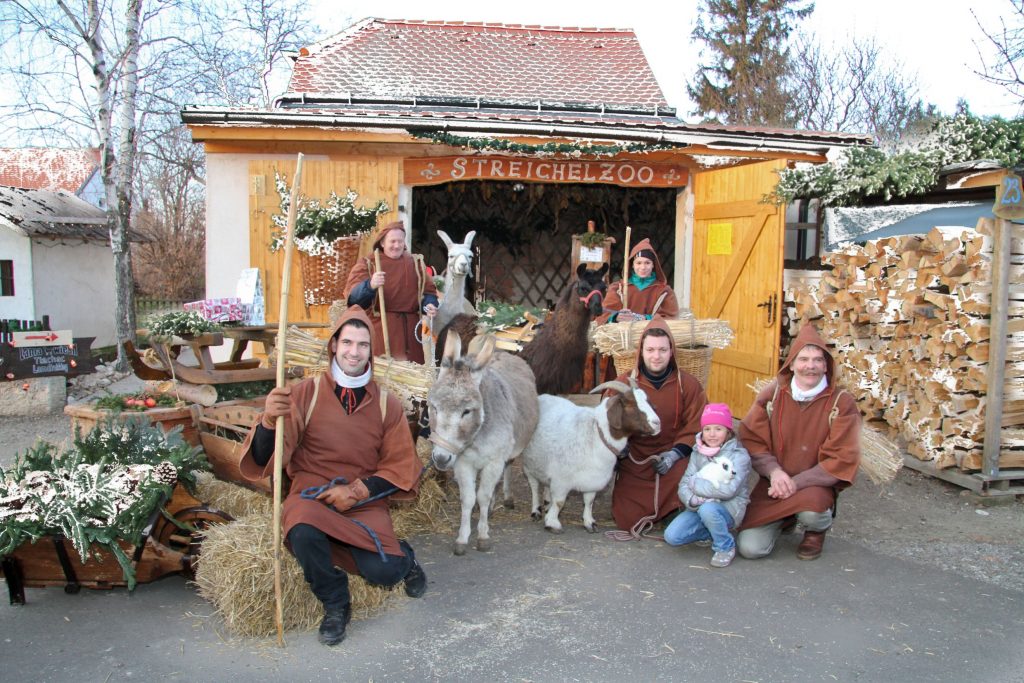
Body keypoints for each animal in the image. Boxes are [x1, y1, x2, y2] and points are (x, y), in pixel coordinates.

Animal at [425, 331, 540, 557]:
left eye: (466, 411)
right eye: (434, 407)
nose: (441, 458)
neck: (475, 438)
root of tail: (503, 353)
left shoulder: (494, 461)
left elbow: (484, 496)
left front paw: (483, 536)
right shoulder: (462, 463)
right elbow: (468, 499)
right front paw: (462, 538)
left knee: (506, 469)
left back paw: (505, 499)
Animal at [524, 378, 659, 532]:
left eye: (647, 401)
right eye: (630, 404)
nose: (657, 423)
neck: (597, 433)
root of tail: (541, 397)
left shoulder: (593, 479)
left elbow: (589, 502)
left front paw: (589, 522)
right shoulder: (561, 479)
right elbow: (559, 502)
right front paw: (552, 523)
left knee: (545, 483)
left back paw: (547, 503)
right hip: (529, 463)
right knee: (534, 486)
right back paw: (536, 510)